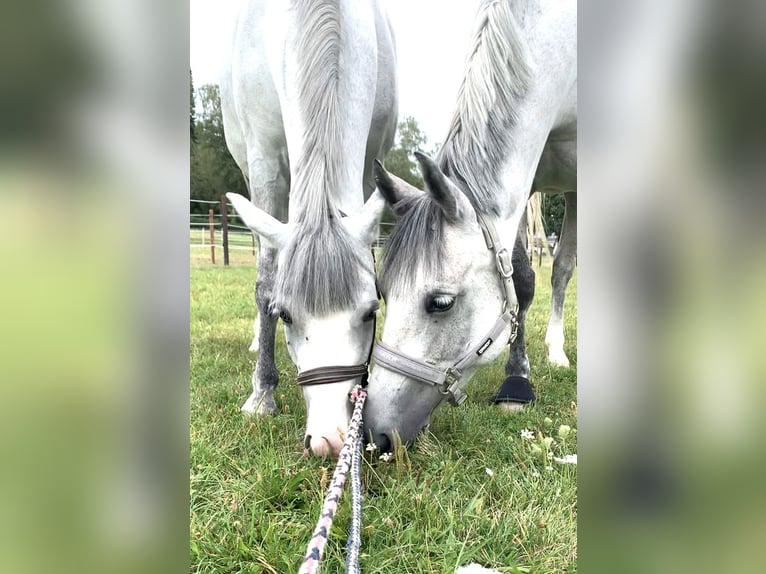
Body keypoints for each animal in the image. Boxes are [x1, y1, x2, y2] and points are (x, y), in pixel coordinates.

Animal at [219, 0, 400, 460]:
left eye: (371, 312)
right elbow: (266, 282)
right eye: (285, 314)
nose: (329, 440)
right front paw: (262, 394)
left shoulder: (371, 159)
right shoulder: (264, 159)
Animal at [366, 0, 576, 450]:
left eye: (441, 302)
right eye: (383, 291)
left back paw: (558, 350)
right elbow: (521, 278)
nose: (376, 434)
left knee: (564, 269)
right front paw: (518, 376)